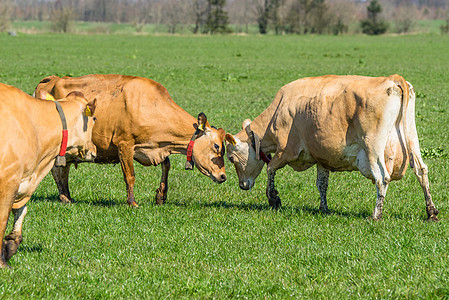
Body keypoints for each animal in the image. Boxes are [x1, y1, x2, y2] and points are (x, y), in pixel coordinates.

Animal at [0, 81, 95, 268]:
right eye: (94, 119)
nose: (94, 150)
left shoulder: (22, 180)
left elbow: (21, 211)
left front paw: (11, 245)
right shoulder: (8, 180)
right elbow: (2, 221)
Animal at [34, 74, 228, 207]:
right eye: (216, 146)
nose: (223, 176)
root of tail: (52, 79)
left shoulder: (157, 147)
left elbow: (166, 166)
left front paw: (161, 195)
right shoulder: (125, 144)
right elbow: (130, 176)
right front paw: (132, 201)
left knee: (62, 168)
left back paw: (66, 196)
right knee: (57, 169)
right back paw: (64, 197)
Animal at [226, 74, 436, 220]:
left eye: (231, 158)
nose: (242, 185)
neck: (279, 110)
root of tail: (391, 79)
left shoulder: (286, 151)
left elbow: (270, 169)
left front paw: (273, 199)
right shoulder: (321, 156)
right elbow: (322, 183)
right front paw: (323, 208)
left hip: (373, 146)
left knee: (382, 178)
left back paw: (376, 215)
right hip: (412, 136)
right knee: (421, 170)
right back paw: (431, 212)